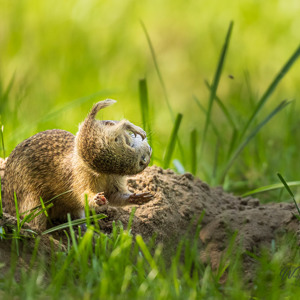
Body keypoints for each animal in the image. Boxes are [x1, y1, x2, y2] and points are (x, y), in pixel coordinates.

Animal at [0, 99, 152, 231]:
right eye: (127, 141)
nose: (146, 157)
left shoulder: (113, 179)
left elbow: (115, 195)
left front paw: (139, 197)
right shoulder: (79, 179)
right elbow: (83, 194)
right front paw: (96, 199)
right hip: (33, 204)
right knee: (36, 222)